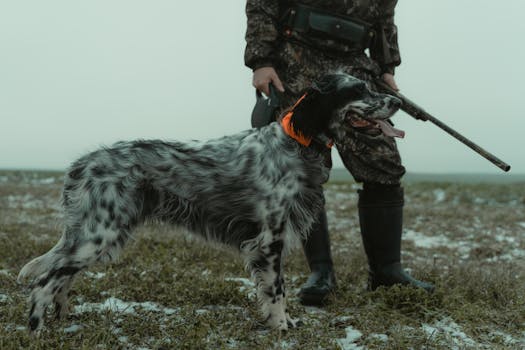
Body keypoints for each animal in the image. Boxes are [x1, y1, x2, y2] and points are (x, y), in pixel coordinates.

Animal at [17, 73, 402, 330]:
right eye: (358, 90)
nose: (397, 101)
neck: (296, 143)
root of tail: (81, 164)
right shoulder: (269, 240)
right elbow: (276, 290)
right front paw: (282, 326)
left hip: (94, 237)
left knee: (61, 280)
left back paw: (63, 319)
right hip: (99, 235)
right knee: (44, 282)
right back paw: (37, 329)